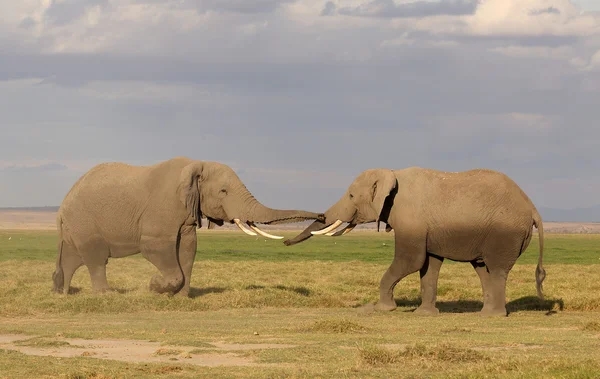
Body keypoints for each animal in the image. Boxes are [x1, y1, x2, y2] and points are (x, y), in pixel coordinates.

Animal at [51, 157, 324, 296]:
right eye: (223, 191)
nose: (322, 216)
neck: (197, 164)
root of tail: (62, 206)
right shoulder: (162, 208)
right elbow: (156, 248)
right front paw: (154, 287)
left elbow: (188, 248)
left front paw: (180, 299)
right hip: (84, 220)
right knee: (96, 258)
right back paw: (106, 296)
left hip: (76, 225)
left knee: (73, 258)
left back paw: (62, 293)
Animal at [284, 167, 544, 318]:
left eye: (350, 195)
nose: (284, 242)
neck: (391, 173)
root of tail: (532, 208)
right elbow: (429, 265)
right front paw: (424, 314)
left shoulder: (411, 217)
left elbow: (411, 261)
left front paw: (382, 309)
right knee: (483, 268)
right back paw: (485, 313)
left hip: (504, 234)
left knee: (496, 269)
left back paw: (494, 316)